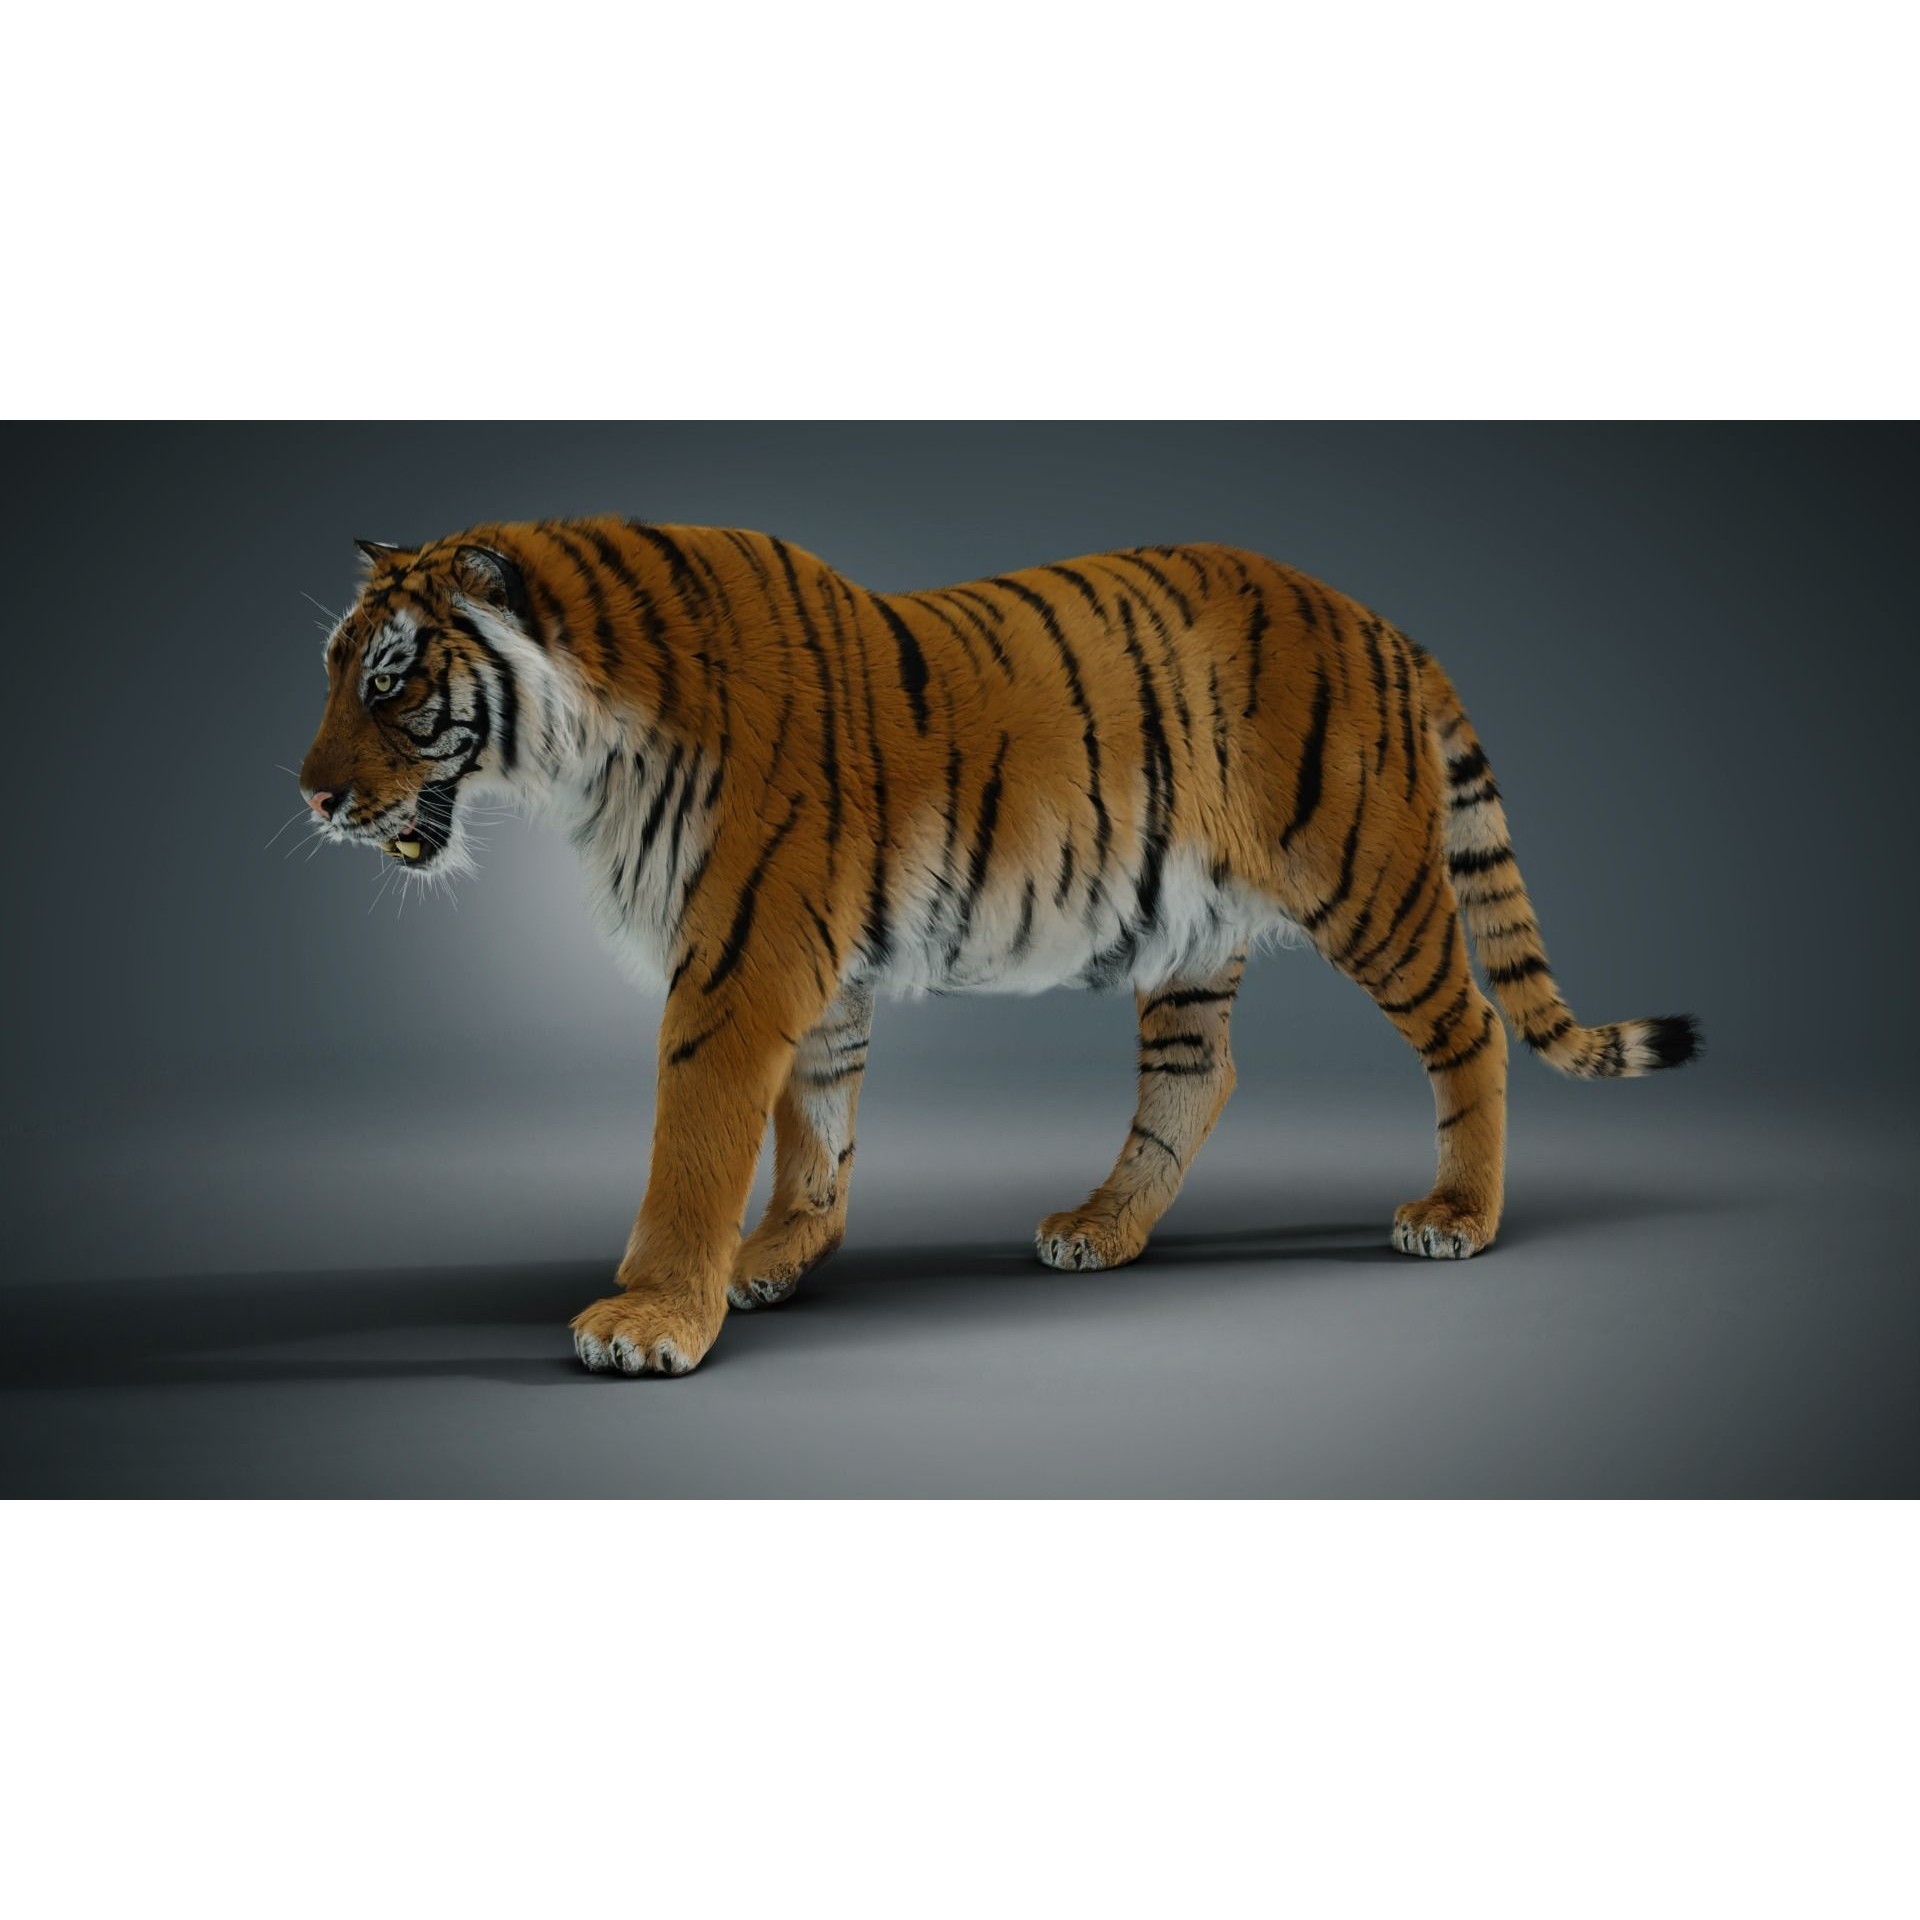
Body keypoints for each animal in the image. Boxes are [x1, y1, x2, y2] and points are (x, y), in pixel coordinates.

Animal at [297, 520, 1698, 1376]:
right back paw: (1101, 1229)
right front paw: (777, 1257)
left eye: (389, 682)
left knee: (1472, 1028)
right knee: (1197, 1078)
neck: (586, 750)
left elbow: (693, 1146)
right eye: (333, 672)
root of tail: (1384, 626)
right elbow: (816, 1127)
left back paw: (1458, 1216)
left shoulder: (736, 966)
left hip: (1371, 883)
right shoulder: (810, 973)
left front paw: (651, 1319)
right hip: (1190, 933)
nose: (308, 795)